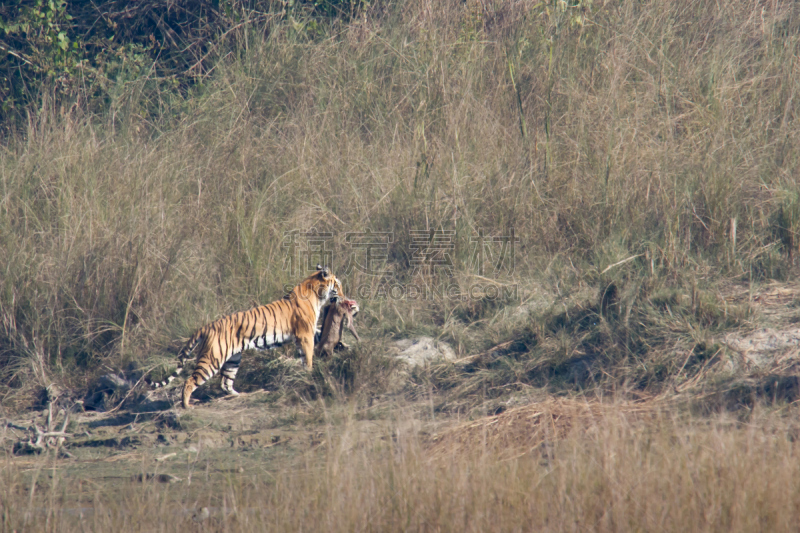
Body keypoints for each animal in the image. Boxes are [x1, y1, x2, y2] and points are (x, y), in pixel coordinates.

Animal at [148, 266, 342, 408]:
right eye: (337, 285)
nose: (343, 294)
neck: (316, 294)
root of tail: (207, 326)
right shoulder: (305, 334)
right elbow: (308, 356)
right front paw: (309, 373)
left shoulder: (308, 332)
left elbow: (317, 340)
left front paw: (342, 344)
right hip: (211, 359)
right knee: (190, 381)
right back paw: (186, 406)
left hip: (233, 358)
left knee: (225, 382)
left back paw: (238, 395)